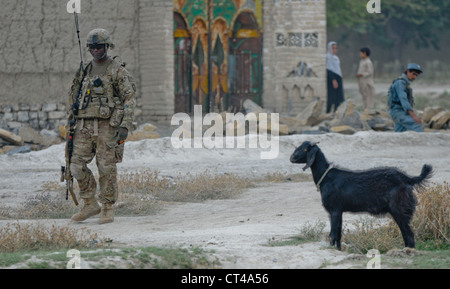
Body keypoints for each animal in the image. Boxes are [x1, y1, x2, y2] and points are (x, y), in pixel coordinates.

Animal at [290, 141, 434, 249]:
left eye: (305, 149)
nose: (291, 157)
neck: (326, 177)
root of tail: (407, 178)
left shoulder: (334, 210)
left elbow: (332, 235)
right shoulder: (339, 211)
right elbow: (338, 236)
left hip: (399, 209)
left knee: (409, 234)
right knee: (406, 234)